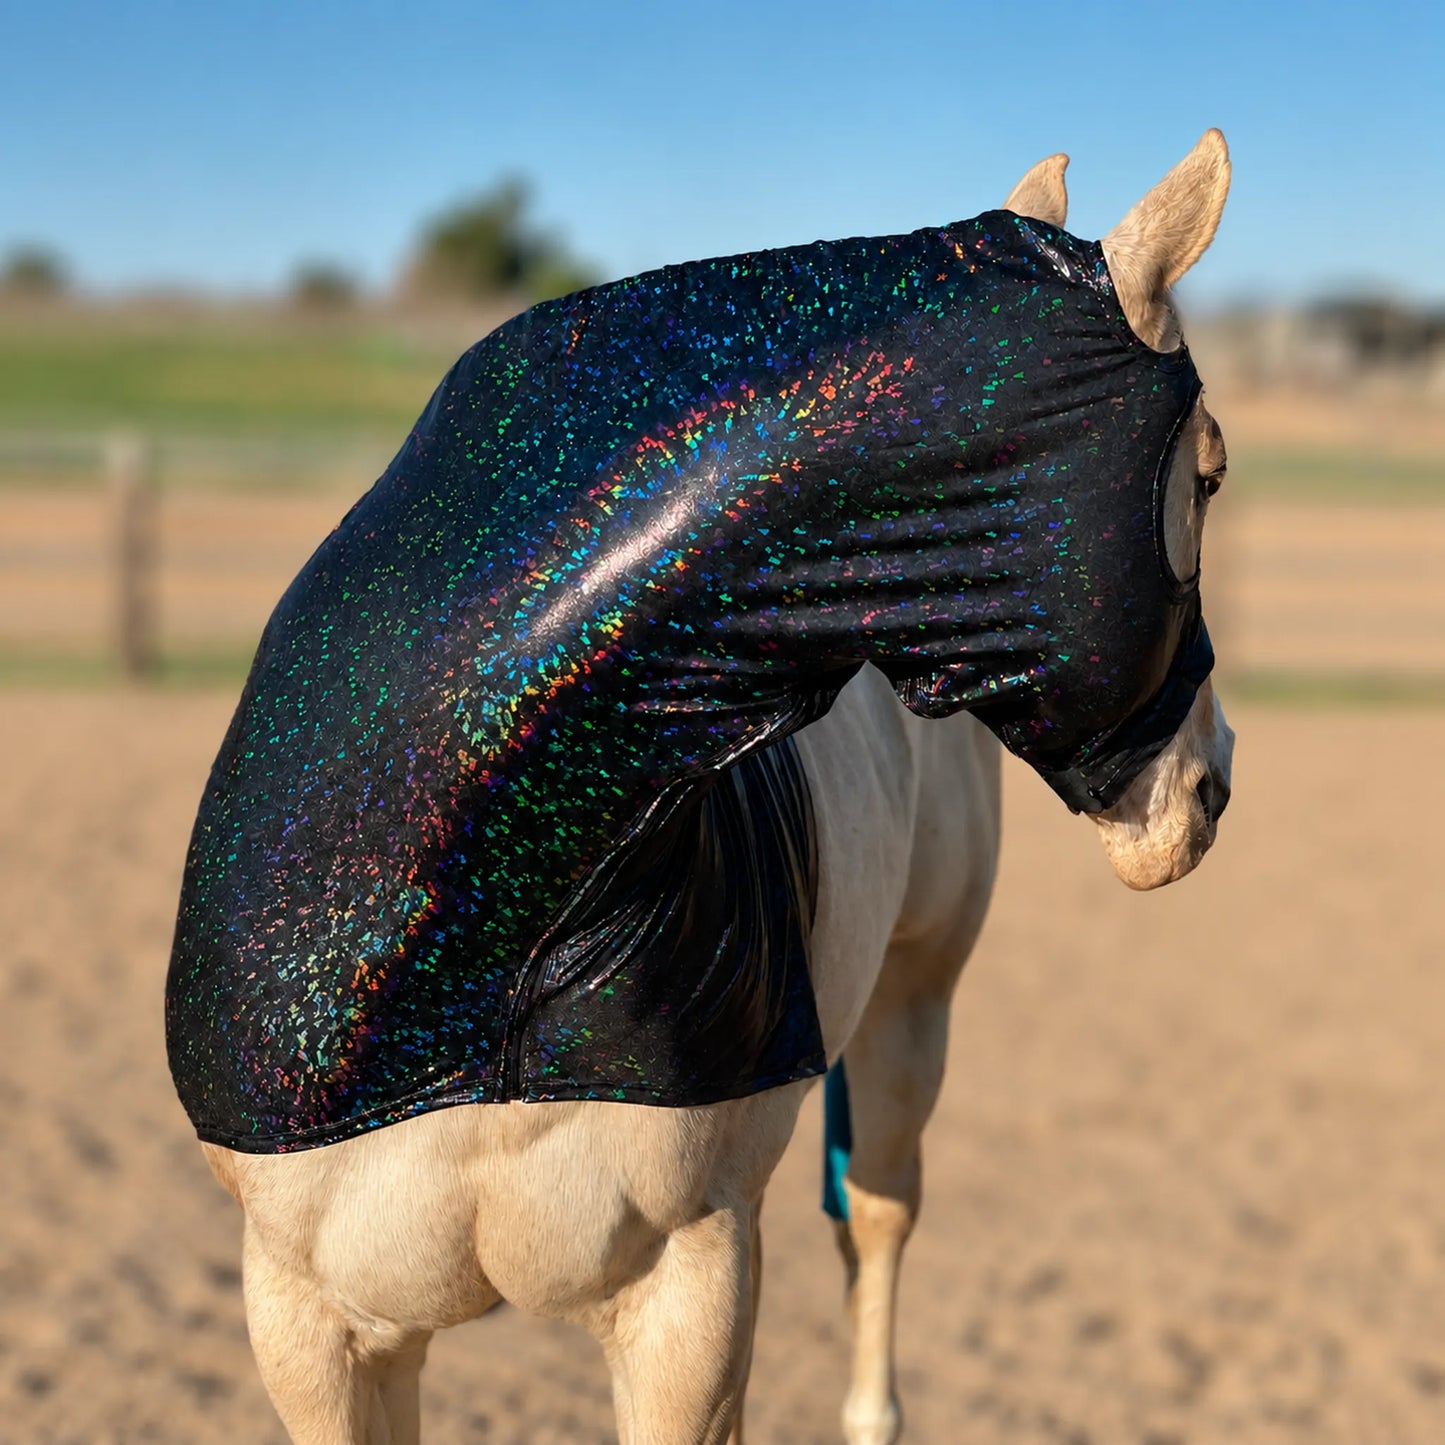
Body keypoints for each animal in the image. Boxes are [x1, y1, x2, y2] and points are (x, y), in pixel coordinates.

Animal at [187, 130, 1234, 1444]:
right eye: (1207, 475)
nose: (1210, 784)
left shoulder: (685, 1299)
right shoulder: (315, 1331)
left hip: (909, 1014)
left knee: (876, 1232)